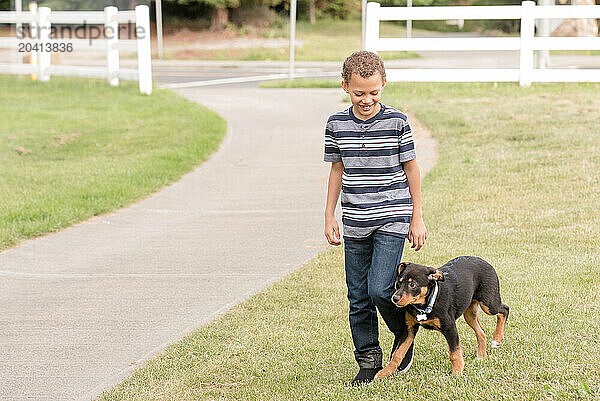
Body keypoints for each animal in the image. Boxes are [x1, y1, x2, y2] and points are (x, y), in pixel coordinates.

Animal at [376, 255, 510, 376]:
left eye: (412, 284)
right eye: (398, 283)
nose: (395, 298)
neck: (425, 305)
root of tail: (484, 261)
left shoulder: (450, 327)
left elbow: (454, 353)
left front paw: (457, 373)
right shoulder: (409, 329)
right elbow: (397, 354)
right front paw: (385, 373)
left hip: (489, 304)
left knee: (504, 310)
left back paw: (497, 339)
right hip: (469, 314)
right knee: (481, 332)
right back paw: (481, 356)